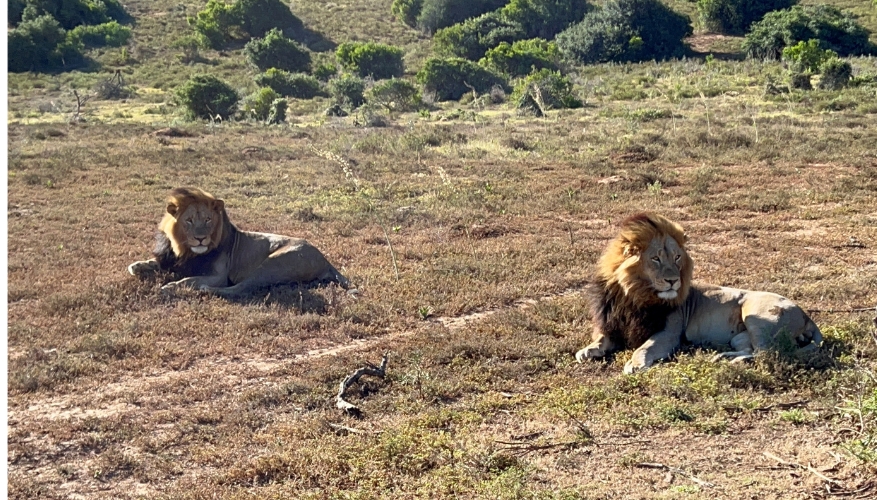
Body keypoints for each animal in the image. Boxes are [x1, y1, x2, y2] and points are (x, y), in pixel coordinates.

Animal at [128, 187, 348, 296]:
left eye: (208, 220)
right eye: (189, 220)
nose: (200, 238)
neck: (186, 249)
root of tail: (325, 259)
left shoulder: (217, 276)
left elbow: (189, 279)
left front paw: (170, 286)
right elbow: (154, 263)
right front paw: (136, 265)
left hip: (274, 263)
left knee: (240, 288)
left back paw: (205, 290)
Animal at [575, 212, 822, 374]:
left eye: (677, 257)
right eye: (655, 259)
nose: (673, 281)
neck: (633, 294)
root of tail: (806, 315)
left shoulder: (668, 333)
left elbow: (645, 348)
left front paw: (635, 364)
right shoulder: (613, 324)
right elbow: (601, 339)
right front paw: (587, 350)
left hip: (756, 315)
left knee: (768, 354)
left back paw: (734, 363)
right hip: (740, 336)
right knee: (750, 349)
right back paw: (721, 357)